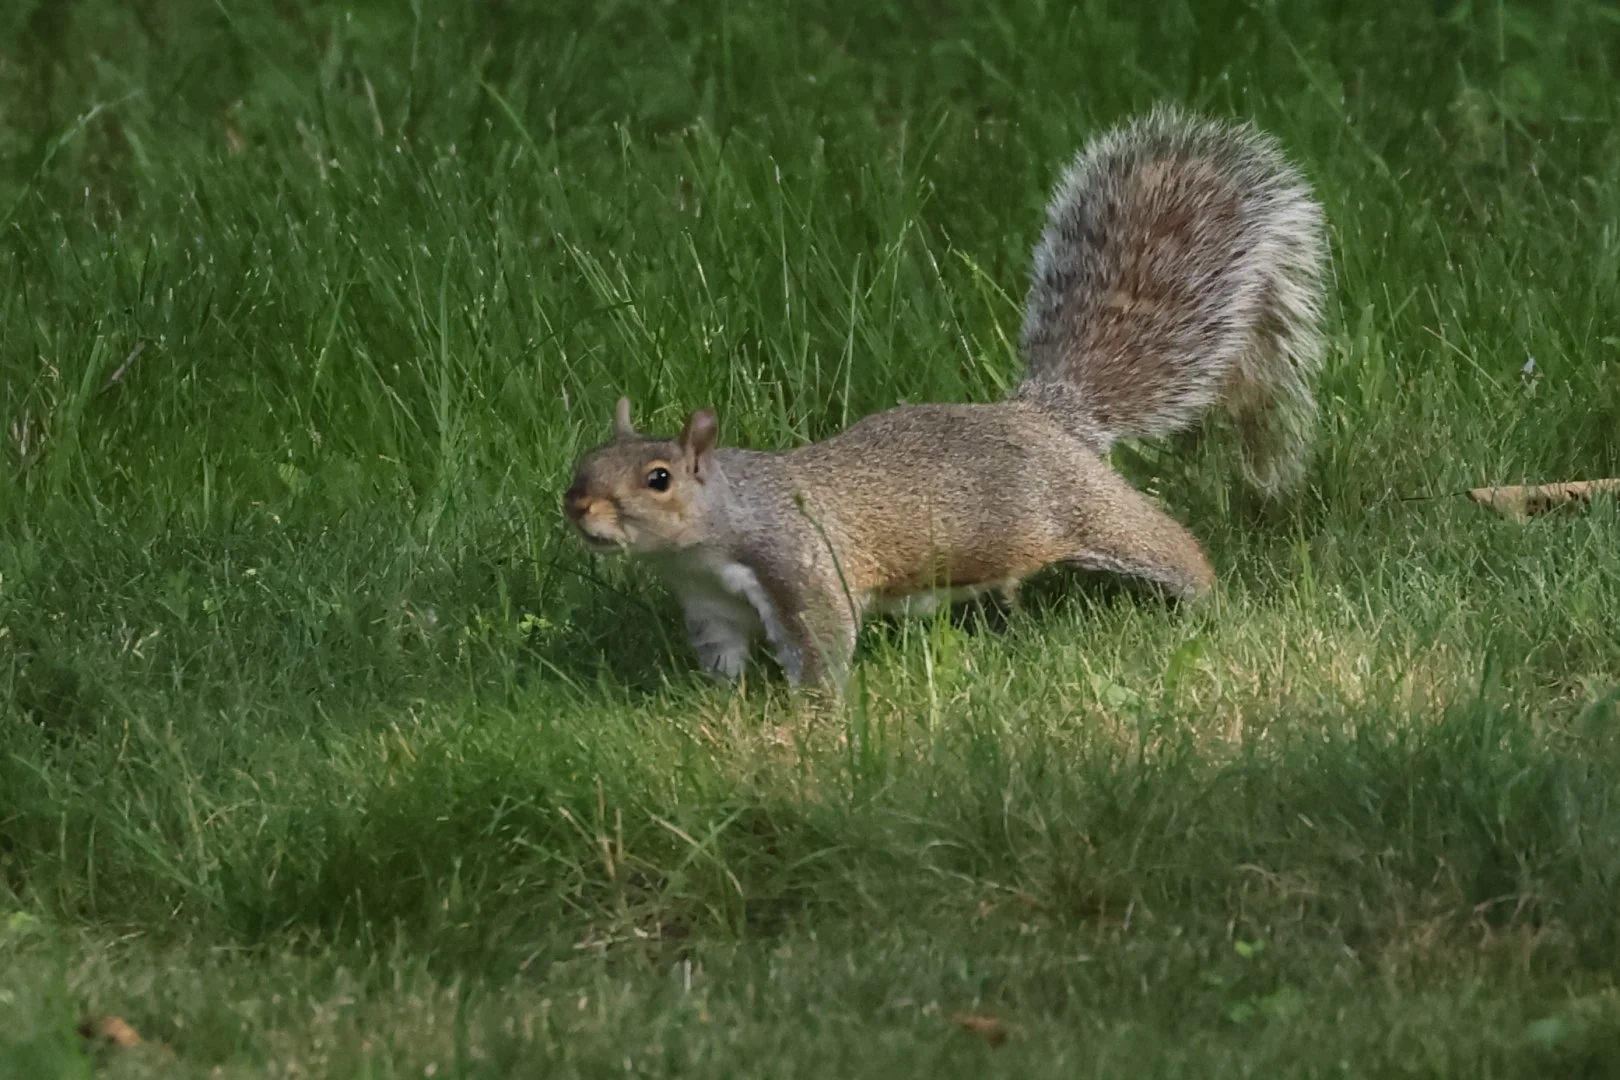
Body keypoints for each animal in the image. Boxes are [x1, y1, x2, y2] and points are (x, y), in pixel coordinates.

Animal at [563, 105, 1328, 688]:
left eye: (658, 478)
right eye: (585, 462)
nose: (577, 507)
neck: (713, 531)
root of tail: (1044, 414)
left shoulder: (803, 567)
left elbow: (824, 647)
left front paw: (809, 719)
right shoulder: (710, 607)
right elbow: (723, 663)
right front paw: (718, 706)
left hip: (1088, 510)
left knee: (1166, 542)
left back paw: (1206, 600)